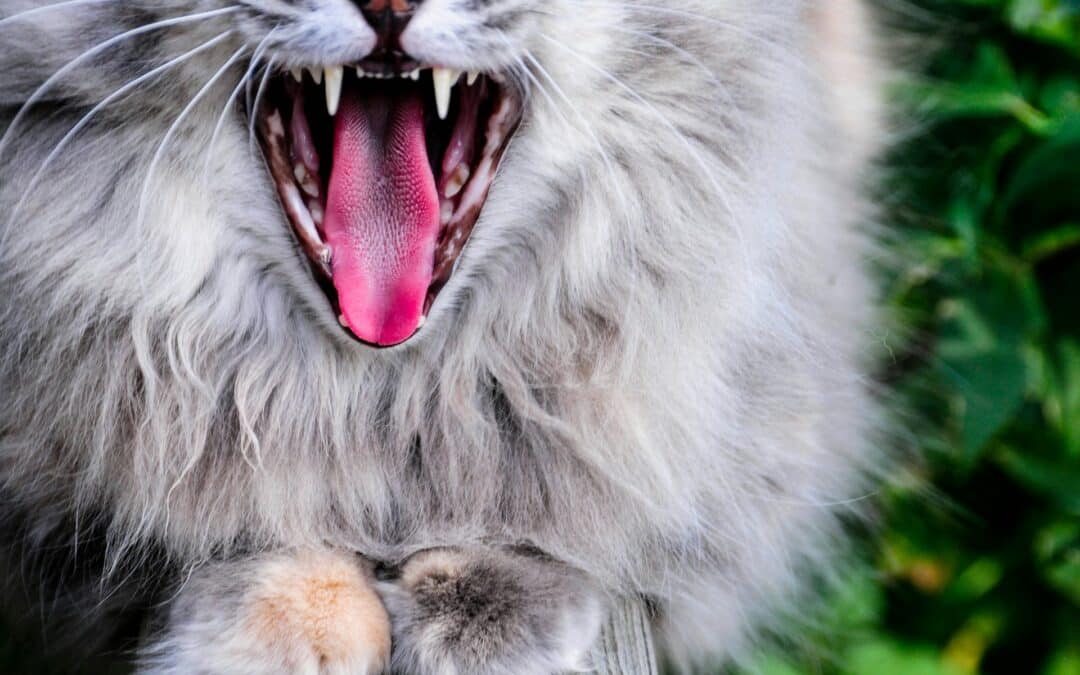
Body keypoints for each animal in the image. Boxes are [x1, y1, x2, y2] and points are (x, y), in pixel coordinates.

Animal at [0, 0, 885, 669]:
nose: (389, 3)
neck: (383, 392)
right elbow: (242, 510)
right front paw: (290, 623)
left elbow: (550, 509)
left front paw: (478, 617)